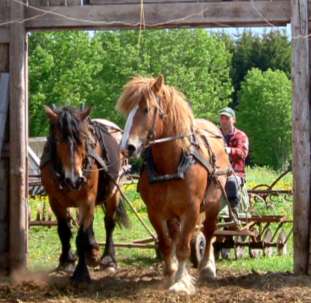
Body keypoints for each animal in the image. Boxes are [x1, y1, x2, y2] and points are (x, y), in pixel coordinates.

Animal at [40, 105, 129, 284]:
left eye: (83, 139)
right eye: (58, 139)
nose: (74, 179)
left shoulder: (87, 200)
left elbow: (81, 236)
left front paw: (81, 272)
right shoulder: (55, 201)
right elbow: (64, 230)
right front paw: (66, 261)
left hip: (114, 191)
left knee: (109, 223)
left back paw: (108, 259)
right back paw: (92, 251)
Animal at [117, 75, 232, 294]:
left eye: (146, 109)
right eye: (128, 110)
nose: (127, 147)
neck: (171, 165)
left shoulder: (192, 209)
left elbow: (183, 247)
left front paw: (180, 282)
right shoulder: (155, 211)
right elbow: (167, 244)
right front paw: (170, 274)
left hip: (213, 203)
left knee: (209, 232)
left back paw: (207, 267)